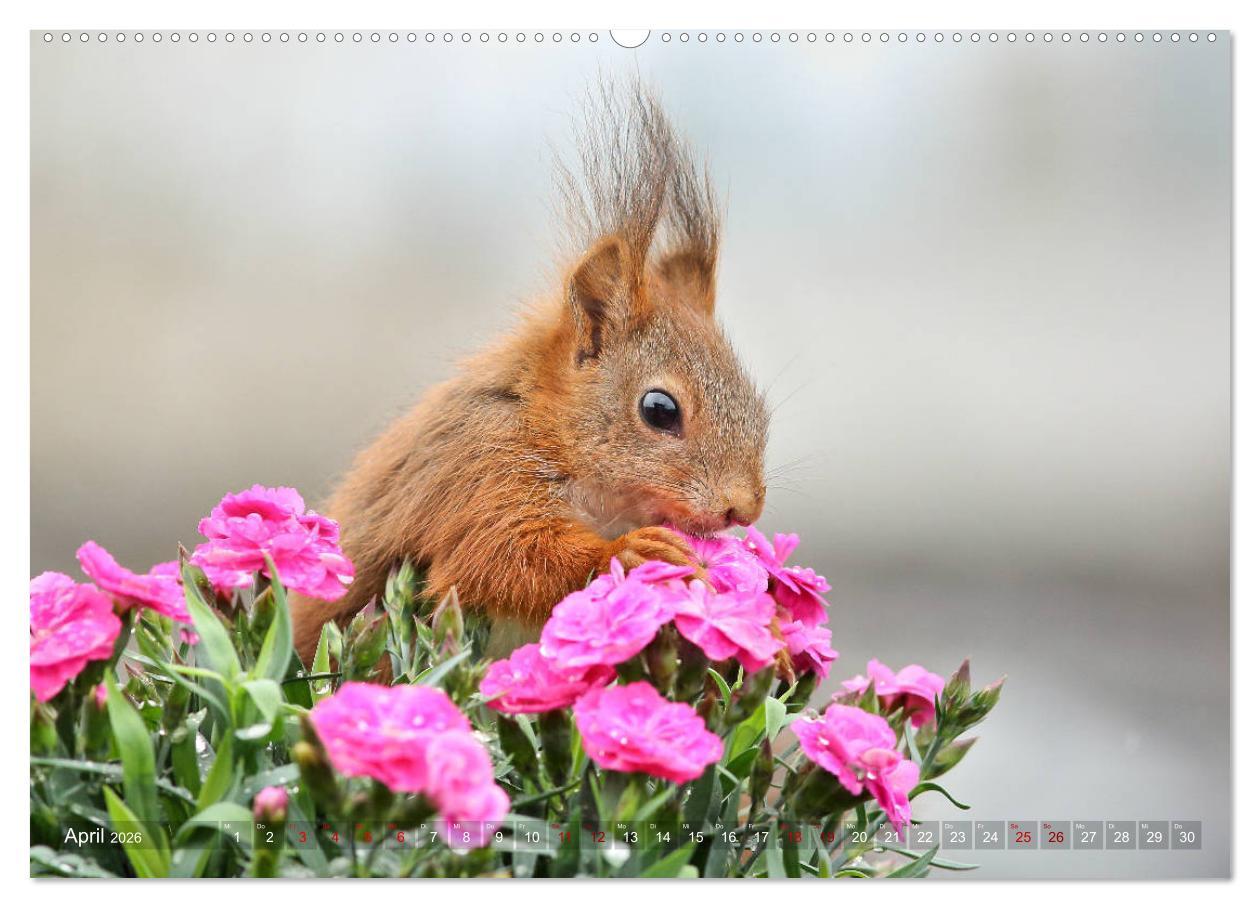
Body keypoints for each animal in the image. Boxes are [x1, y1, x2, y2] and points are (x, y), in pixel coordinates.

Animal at [292, 80, 770, 661]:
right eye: (659, 410)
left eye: (760, 407)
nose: (743, 509)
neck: (546, 426)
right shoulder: (481, 473)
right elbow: (496, 556)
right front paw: (630, 550)